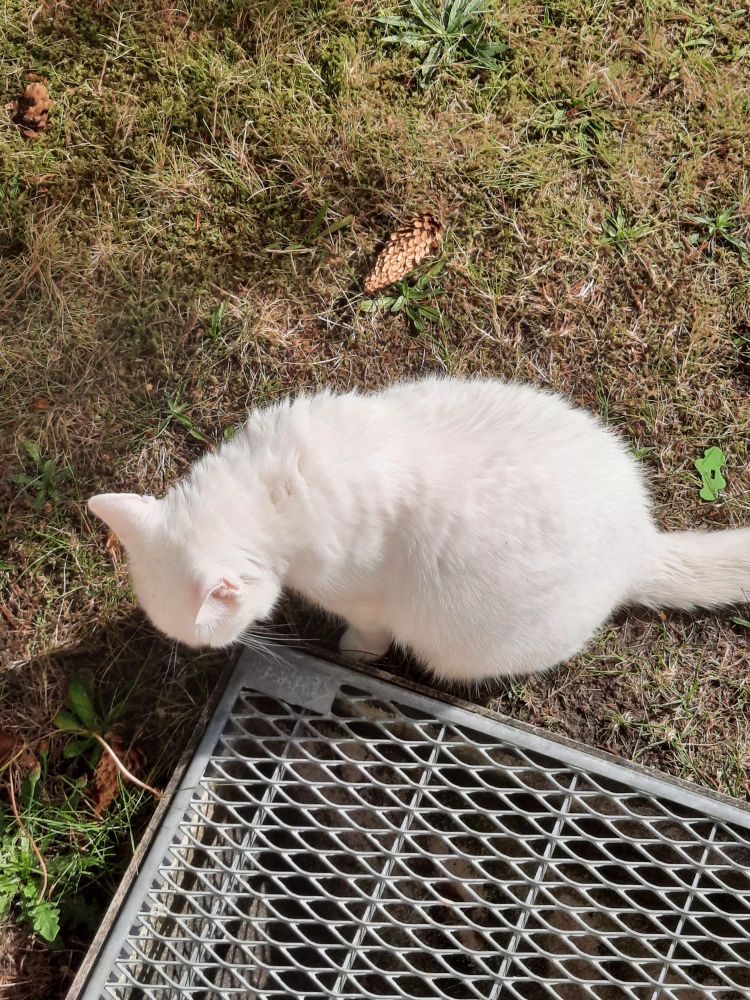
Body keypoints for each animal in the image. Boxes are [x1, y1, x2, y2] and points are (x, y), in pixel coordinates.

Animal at [88, 377, 750, 682]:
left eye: (209, 639)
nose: (204, 655)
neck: (269, 486)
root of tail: (642, 543)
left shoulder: (363, 599)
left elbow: (367, 634)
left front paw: (353, 652)